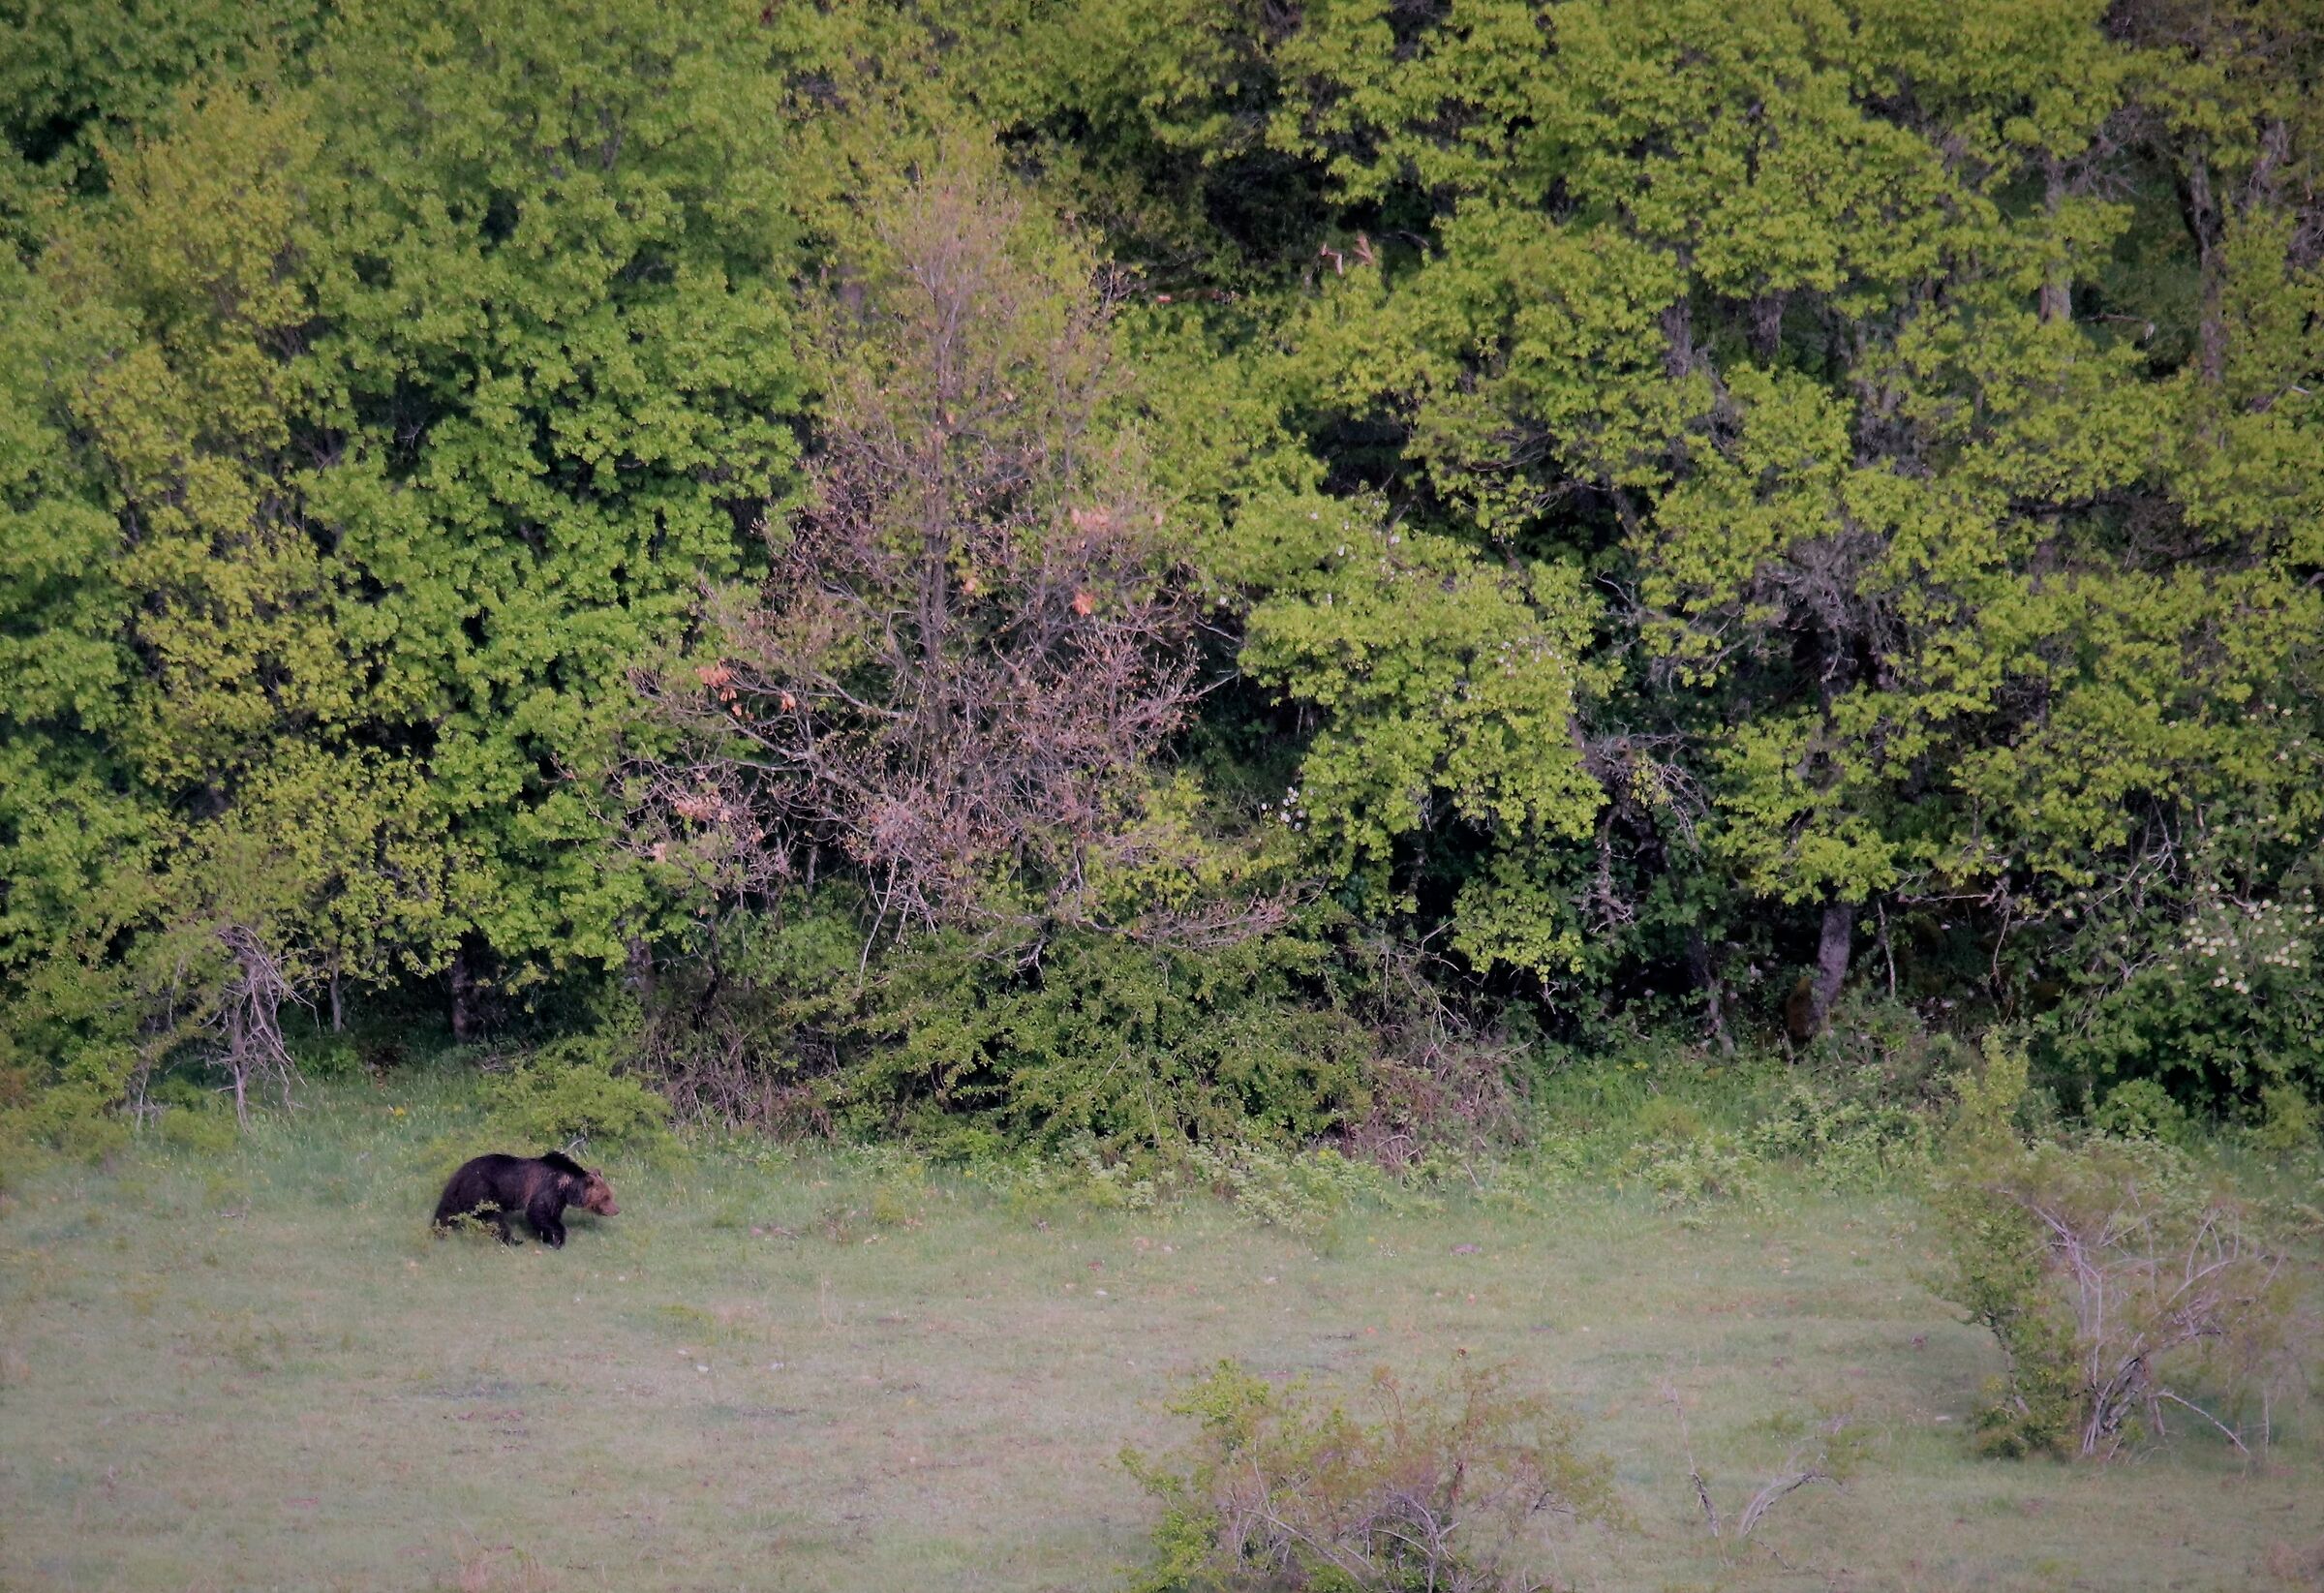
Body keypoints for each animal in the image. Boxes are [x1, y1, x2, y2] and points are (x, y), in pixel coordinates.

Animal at [432, 1151, 618, 1248]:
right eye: (606, 1196)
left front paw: (548, 1237)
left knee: (444, 1212)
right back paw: (513, 1240)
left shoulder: (558, 1198)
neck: (567, 1185)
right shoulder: (547, 1187)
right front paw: (556, 1239)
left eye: (610, 1194)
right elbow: (539, 1213)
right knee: (495, 1218)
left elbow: (550, 1214)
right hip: (483, 1190)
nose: (617, 1210)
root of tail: (460, 1173)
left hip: (456, 1194)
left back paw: (439, 1232)